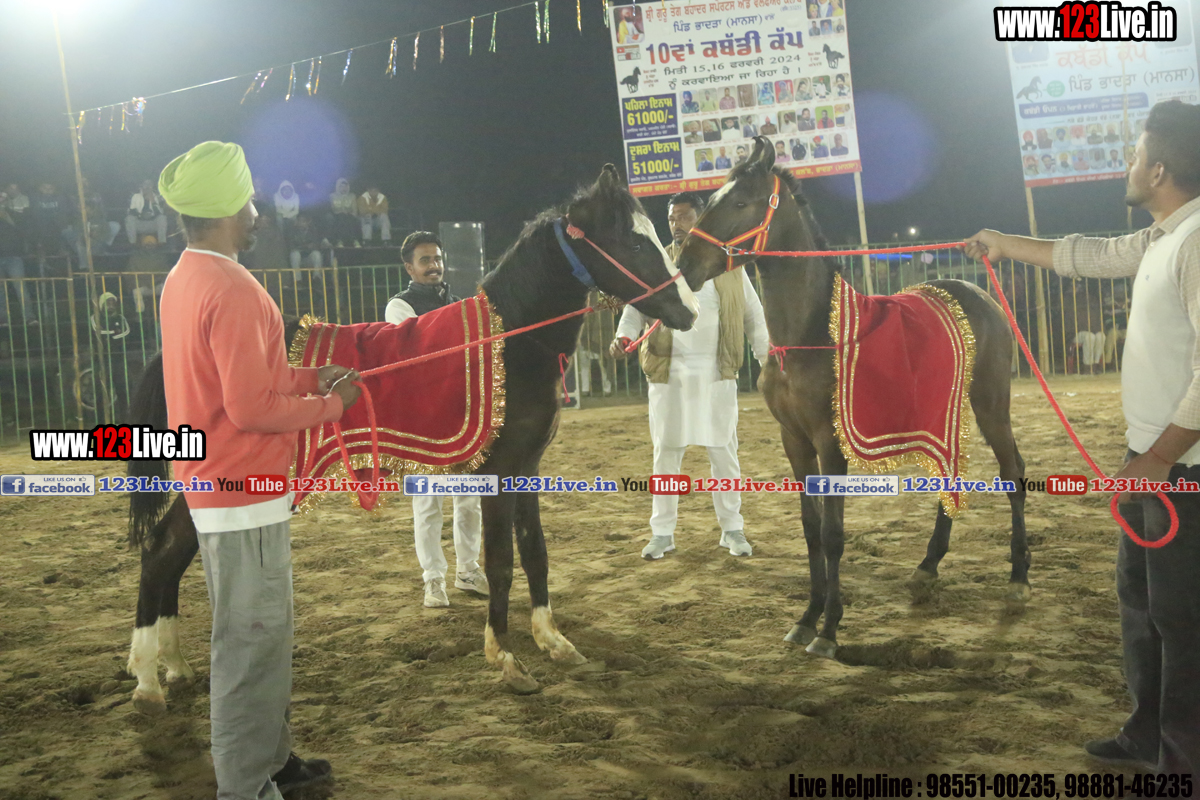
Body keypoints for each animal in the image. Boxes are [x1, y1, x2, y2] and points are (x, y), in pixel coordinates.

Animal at [123, 164, 699, 712]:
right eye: (632, 242)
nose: (688, 310)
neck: (509, 343)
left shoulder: (527, 468)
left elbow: (535, 552)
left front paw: (554, 641)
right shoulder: (497, 473)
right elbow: (500, 563)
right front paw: (507, 659)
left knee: (171, 554)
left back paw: (175, 665)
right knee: (161, 551)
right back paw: (148, 680)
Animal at [674, 138, 1028, 659]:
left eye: (739, 203)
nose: (684, 265)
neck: (809, 334)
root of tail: (978, 294)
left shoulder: (829, 441)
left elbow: (833, 532)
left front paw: (829, 629)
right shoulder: (794, 440)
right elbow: (810, 528)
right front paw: (806, 619)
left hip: (991, 406)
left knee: (1013, 473)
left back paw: (1019, 579)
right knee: (949, 475)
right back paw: (927, 567)